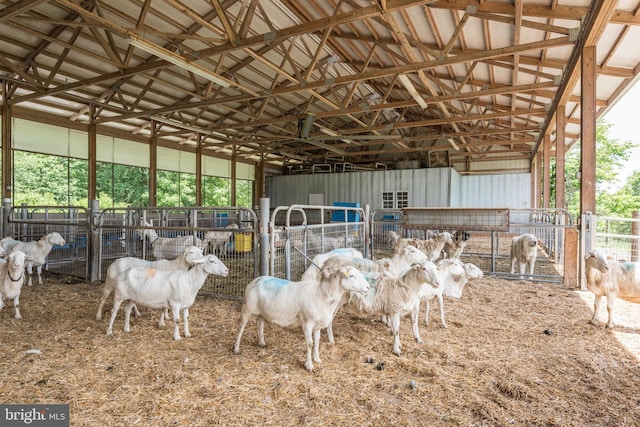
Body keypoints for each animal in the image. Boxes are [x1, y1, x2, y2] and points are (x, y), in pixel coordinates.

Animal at [234, 262, 370, 370]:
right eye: (352, 276)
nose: (368, 287)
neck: (323, 294)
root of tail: (254, 280)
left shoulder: (317, 325)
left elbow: (317, 340)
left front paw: (317, 358)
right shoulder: (307, 322)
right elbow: (309, 343)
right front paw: (309, 365)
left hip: (263, 311)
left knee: (259, 323)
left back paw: (262, 342)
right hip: (247, 308)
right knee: (241, 327)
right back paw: (236, 348)